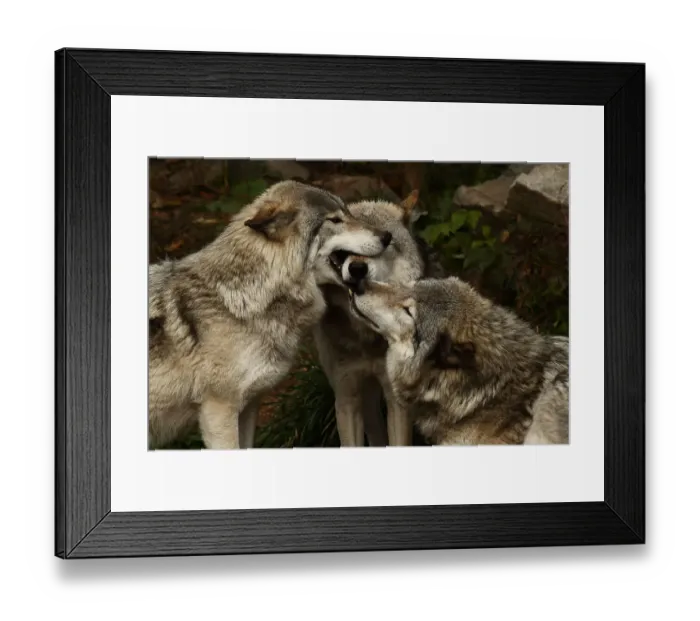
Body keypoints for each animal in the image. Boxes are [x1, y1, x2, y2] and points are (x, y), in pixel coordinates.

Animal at [148, 180, 392, 450]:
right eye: (335, 220)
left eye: (348, 212)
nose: (387, 236)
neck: (244, 299)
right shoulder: (219, 411)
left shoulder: (248, 406)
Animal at [312, 192, 444, 447]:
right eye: (342, 251)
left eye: (385, 241)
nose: (357, 269)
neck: (367, 336)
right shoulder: (346, 396)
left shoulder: (396, 399)